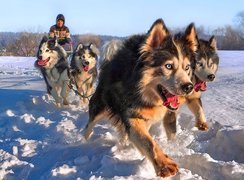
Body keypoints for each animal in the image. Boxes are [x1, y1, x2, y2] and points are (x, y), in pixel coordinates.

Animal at [83, 19, 198, 177]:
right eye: (168, 66)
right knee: (89, 124)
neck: (142, 92)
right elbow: (148, 142)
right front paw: (164, 165)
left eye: (187, 67)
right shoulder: (130, 113)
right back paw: (84, 141)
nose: (188, 87)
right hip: (100, 104)